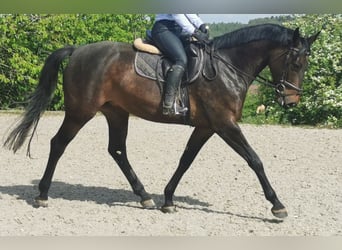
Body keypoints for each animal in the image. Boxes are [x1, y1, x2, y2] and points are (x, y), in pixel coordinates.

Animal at [3, 24, 318, 218]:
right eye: (295, 63)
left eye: (305, 64)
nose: (291, 101)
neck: (229, 67)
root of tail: (78, 50)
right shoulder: (224, 124)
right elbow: (254, 160)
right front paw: (277, 205)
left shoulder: (206, 126)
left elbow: (186, 160)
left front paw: (167, 199)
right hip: (80, 111)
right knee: (58, 144)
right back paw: (42, 194)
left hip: (116, 112)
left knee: (117, 150)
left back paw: (144, 196)